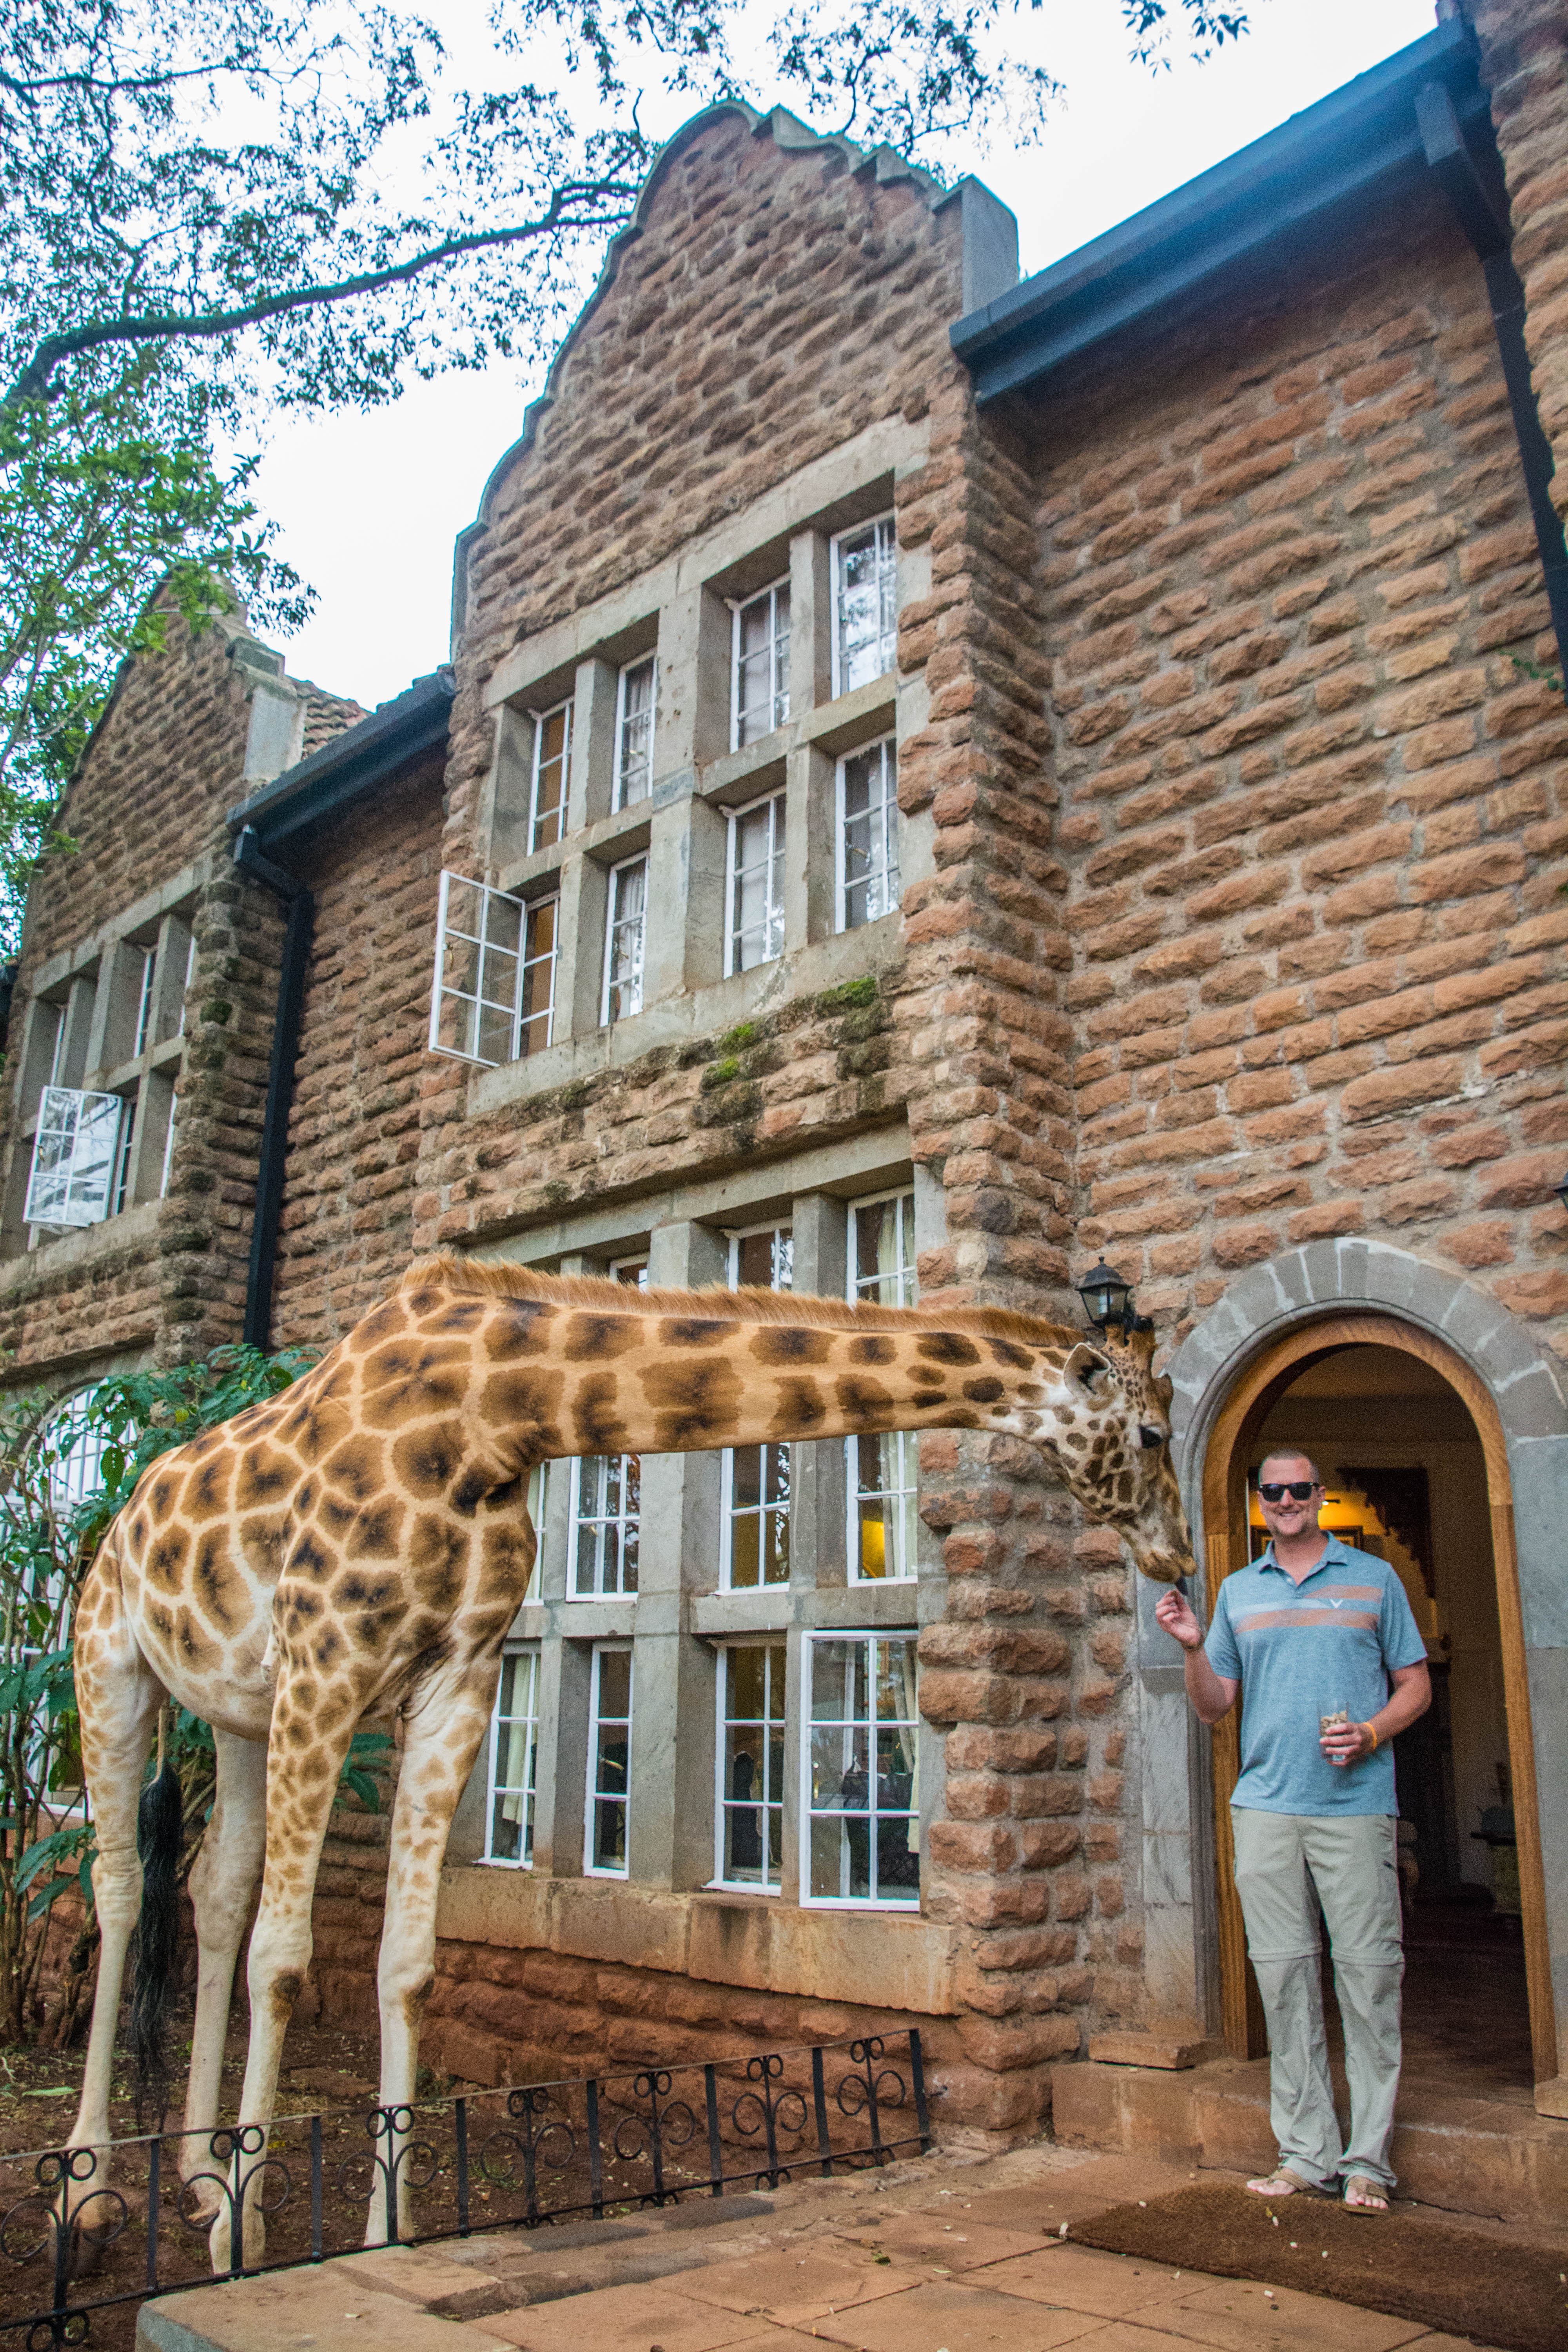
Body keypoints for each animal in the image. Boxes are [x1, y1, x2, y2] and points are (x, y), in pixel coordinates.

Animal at [65, 1253, 1193, 2264]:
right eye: (1148, 1431)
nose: (1179, 1556)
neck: (494, 1418)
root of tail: (121, 1513)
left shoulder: (455, 1683)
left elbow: (408, 1964)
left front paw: (383, 2236)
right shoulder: (326, 1670)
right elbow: (287, 1958)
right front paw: (244, 2244)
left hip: (236, 1717)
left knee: (212, 1887)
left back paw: (195, 2174)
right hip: (112, 1666)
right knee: (118, 1885)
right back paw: (90, 2197)